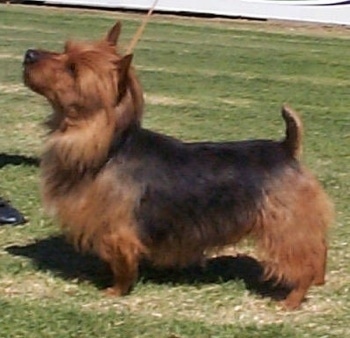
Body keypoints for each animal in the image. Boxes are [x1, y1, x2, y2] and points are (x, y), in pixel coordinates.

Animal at [23, 19, 332, 308]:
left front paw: (115, 290)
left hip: (286, 229)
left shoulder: (118, 231)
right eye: (64, 50)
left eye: (73, 69)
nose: (28, 53)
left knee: (304, 264)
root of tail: (286, 148)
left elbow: (123, 267)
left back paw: (291, 301)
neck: (110, 148)